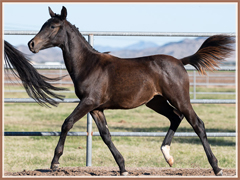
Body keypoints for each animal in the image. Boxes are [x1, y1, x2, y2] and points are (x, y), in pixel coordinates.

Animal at [26, 6, 234, 176]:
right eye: (43, 25)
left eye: (53, 26)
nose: (31, 44)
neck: (88, 65)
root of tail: (180, 61)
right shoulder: (96, 108)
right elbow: (106, 135)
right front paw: (123, 167)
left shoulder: (88, 102)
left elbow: (66, 123)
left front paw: (54, 163)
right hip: (156, 101)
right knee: (176, 117)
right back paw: (167, 155)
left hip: (179, 98)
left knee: (197, 124)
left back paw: (216, 167)